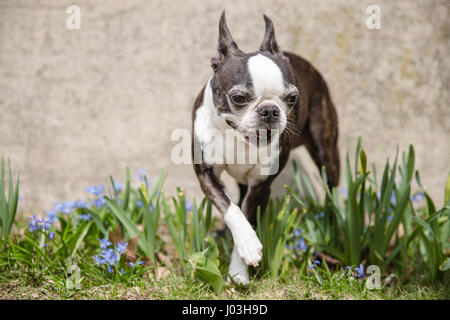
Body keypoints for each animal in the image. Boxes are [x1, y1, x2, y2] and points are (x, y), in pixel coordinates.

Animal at [192, 11, 340, 284]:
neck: (237, 138)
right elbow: (231, 209)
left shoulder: (261, 187)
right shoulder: (206, 173)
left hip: (326, 153)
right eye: (239, 98)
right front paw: (247, 243)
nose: (270, 110)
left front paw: (239, 270)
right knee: (237, 199)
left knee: (332, 190)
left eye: (292, 98)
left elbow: (249, 215)